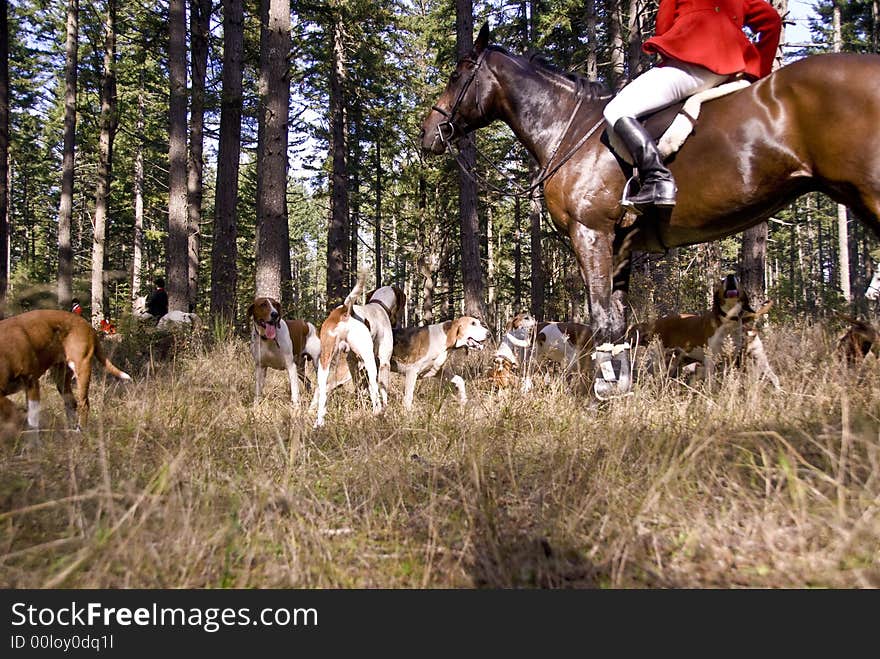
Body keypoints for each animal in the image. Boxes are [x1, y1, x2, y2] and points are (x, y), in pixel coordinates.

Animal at [0, 310, 131, 430]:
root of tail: (86, 324)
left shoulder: (32, 384)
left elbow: (32, 422)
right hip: (61, 379)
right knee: (71, 404)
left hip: (82, 369)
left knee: (84, 404)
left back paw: (81, 432)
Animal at [420, 24, 880, 398]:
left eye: (457, 75)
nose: (428, 134)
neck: (570, 128)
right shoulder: (621, 245)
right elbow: (618, 321)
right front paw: (620, 387)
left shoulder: (591, 235)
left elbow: (602, 319)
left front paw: (602, 393)